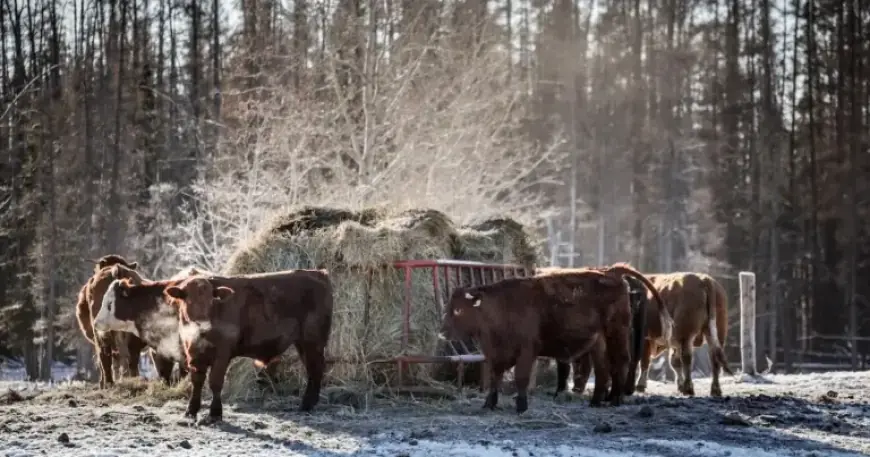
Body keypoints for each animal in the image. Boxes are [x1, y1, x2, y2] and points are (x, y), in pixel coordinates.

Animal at [94, 269, 334, 425]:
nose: (96, 322)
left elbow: (215, 382)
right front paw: (191, 411)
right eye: (187, 300)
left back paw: (307, 405)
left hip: (312, 342)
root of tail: (318, 273)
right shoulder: (192, 351)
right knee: (314, 371)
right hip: (304, 344)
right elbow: (197, 381)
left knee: (315, 370)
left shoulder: (221, 354)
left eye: (109, 303)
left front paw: (215, 414)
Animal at [439, 265, 659, 414]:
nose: (442, 332)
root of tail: (611, 273)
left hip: (616, 334)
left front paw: (521, 406)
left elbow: (521, 378)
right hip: (599, 343)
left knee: (621, 363)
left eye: (458, 310)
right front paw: (489, 404)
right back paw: (596, 401)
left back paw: (615, 400)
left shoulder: (527, 351)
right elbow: (495, 378)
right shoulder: (496, 355)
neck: (500, 308)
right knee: (603, 369)